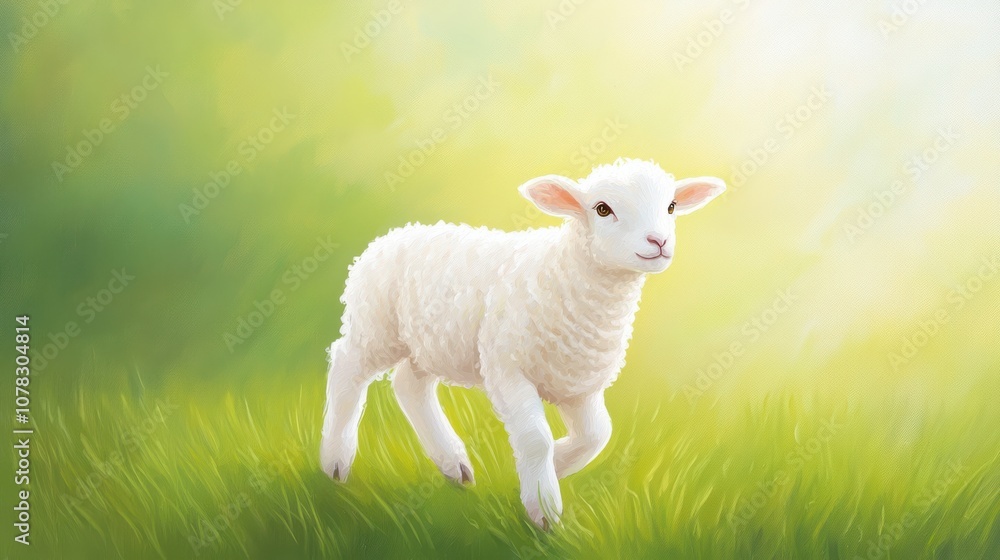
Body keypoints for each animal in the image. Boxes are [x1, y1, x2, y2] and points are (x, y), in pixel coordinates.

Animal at [320, 158, 725, 529]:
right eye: (602, 209)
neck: (565, 274)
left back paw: (453, 463)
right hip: (375, 327)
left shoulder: (578, 384)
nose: (659, 241)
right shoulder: (506, 368)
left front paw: (554, 469)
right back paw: (335, 462)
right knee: (346, 369)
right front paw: (544, 506)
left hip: (431, 344)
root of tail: (391, 236)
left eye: (671, 206)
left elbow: (597, 436)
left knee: (410, 386)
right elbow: (536, 438)